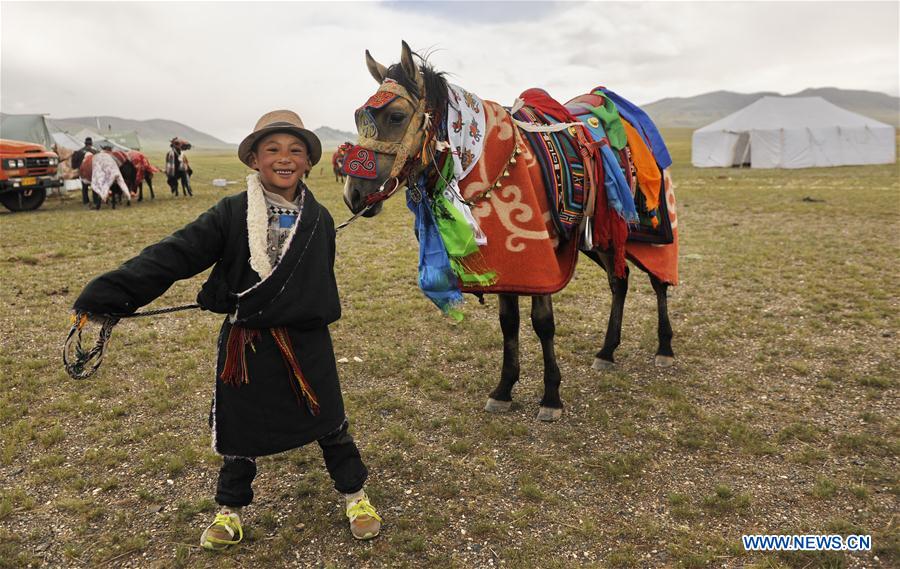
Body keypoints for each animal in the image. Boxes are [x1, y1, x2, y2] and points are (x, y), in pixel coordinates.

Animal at [344, 41, 676, 422]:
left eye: (396, 117)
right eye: (359, 117)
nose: (353, 194)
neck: (482, 156)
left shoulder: (540, 256)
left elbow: (542, 322)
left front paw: (551, 397)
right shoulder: (510, 263)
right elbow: (509, 322)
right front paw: (503, 389)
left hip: (648, 232)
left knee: (658, 280)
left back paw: (664, 347)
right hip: (603, 236)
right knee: (619, 281)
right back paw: (607, 351)